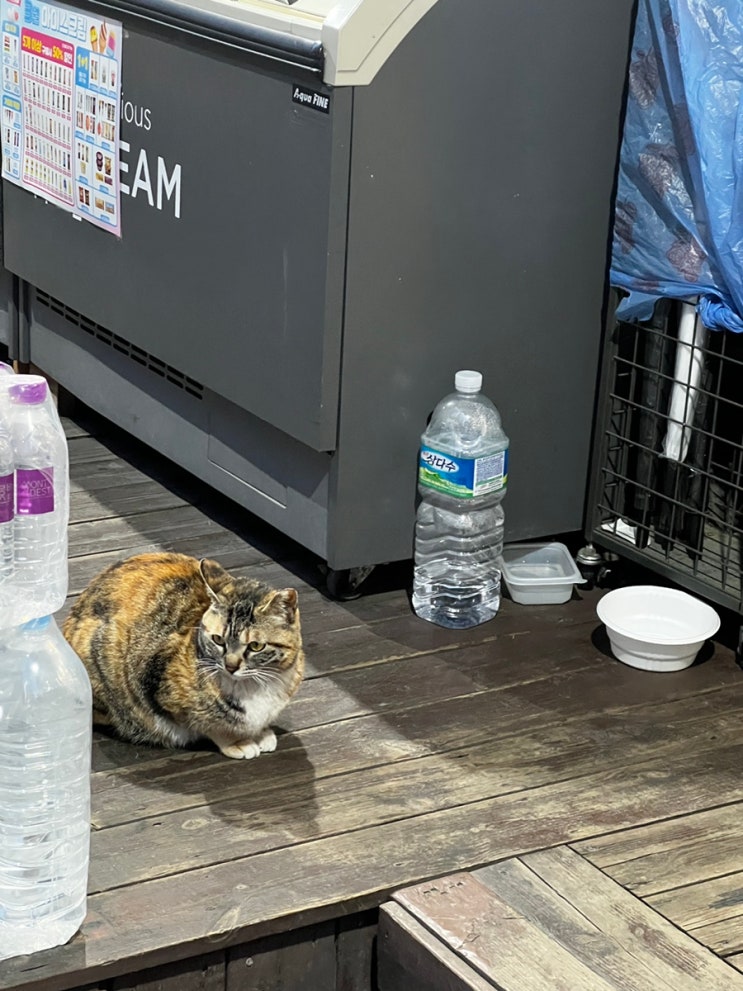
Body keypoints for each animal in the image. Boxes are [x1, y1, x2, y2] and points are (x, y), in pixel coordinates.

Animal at [62, 552, 304, 759]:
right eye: (218, 640)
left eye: (255, 646)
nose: (230, 665)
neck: (255, 687)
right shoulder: (157, 688)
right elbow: (208, 725)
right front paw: (238, 742)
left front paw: (262, 732)